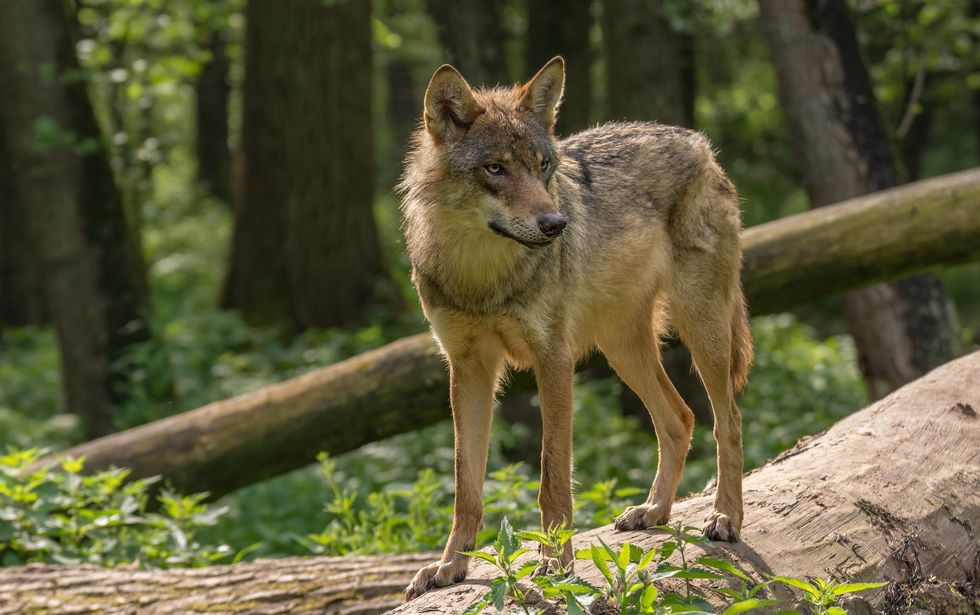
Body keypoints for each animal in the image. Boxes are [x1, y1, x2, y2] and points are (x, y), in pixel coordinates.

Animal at [399, 56, 753, 600]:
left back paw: (726, 518)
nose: (555, 224)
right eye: (495, 168)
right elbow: (466, 488)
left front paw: (554, 564)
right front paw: (449, 567)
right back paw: (654, 511)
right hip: (622, 349)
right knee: (680, 418)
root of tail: (698, 142)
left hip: (702, 331)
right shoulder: (467, 369)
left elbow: (553, 480)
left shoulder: (554, 362)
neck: (481, 275)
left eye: (543, 166)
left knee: (726, 420)